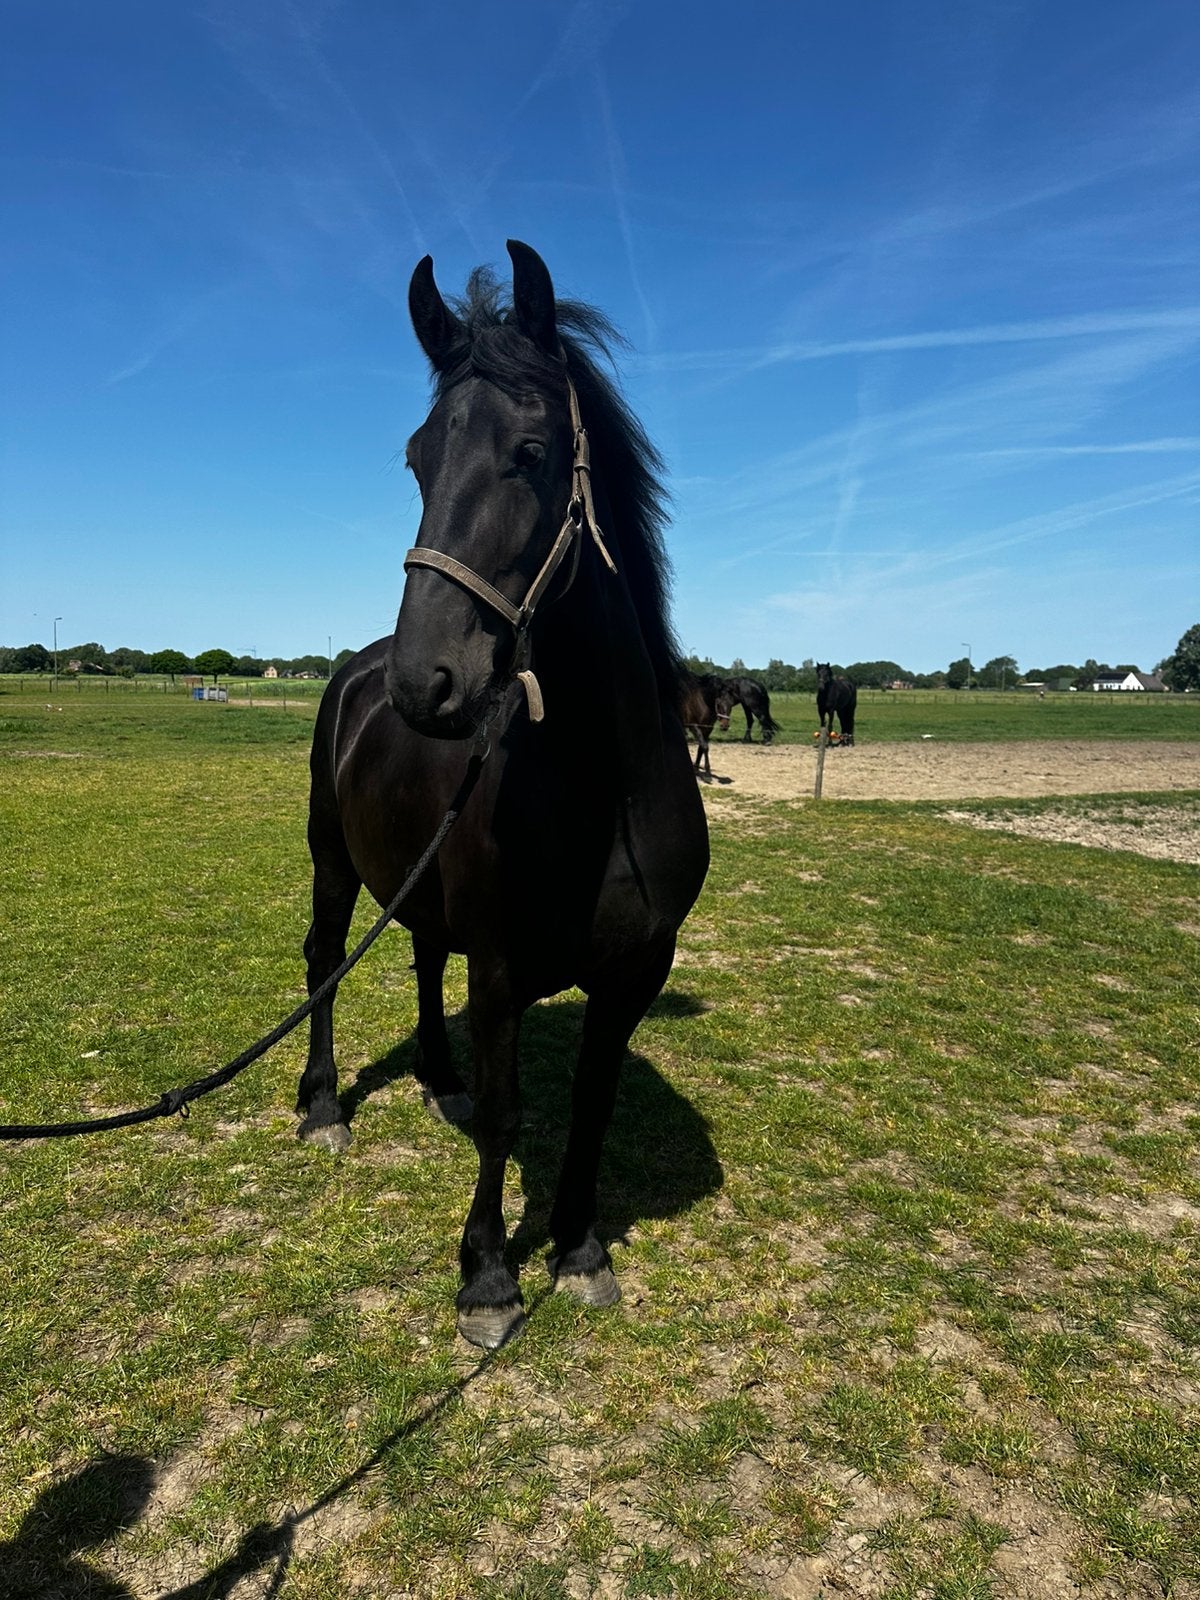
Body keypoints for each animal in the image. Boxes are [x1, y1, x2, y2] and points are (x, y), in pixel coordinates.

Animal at [297, 242, 710, 1349]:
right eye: (416, 460)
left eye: (529, 452)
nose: (425, 683)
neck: (602, 793)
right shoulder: (500, 969)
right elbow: (508, 1113)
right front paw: (488, 1276)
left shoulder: (635, 971)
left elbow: (592, 1106)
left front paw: (578, 1247)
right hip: (332, 863)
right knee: (323, 960)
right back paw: (322, 1105)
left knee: (419, 955)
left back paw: (435, 1078)